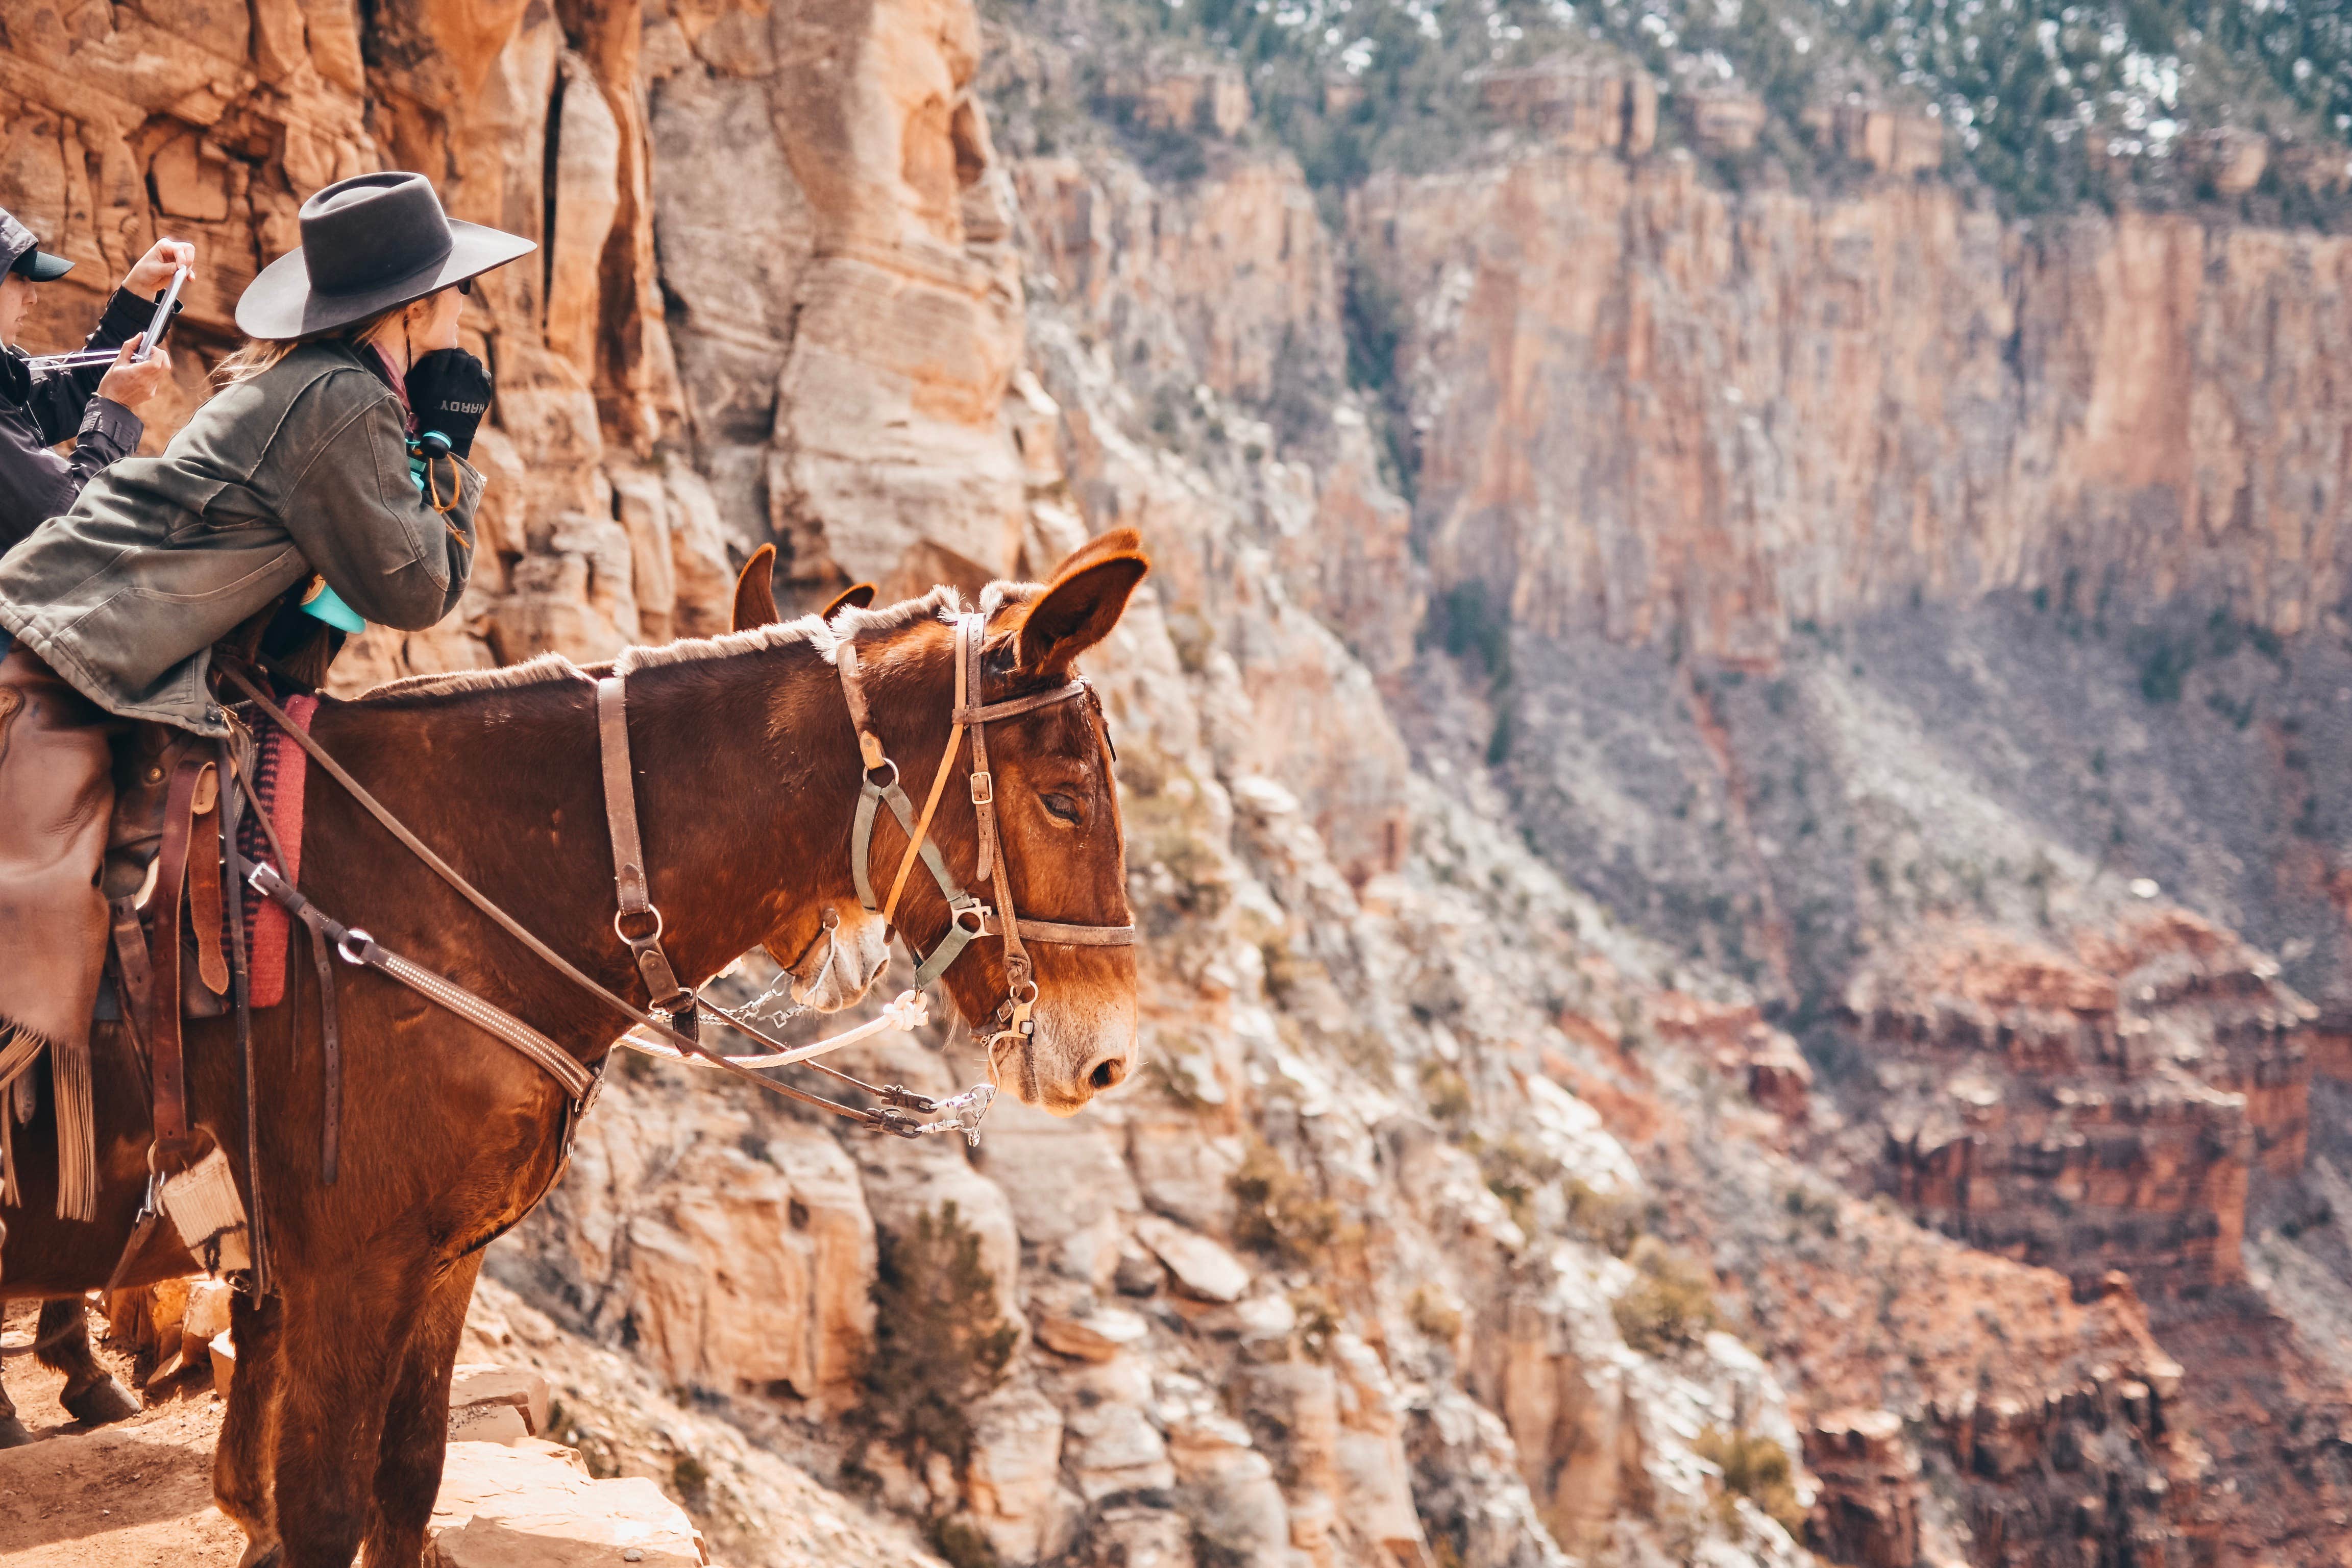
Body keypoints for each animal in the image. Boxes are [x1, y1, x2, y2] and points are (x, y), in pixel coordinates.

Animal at [0, 527, 1148, 1565]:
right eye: (1063, 799)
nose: (1106, 1057)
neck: (442, 880)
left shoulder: (436, 1265)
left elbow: (402, 1488)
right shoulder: (347, 1272)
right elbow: (320, 1505)